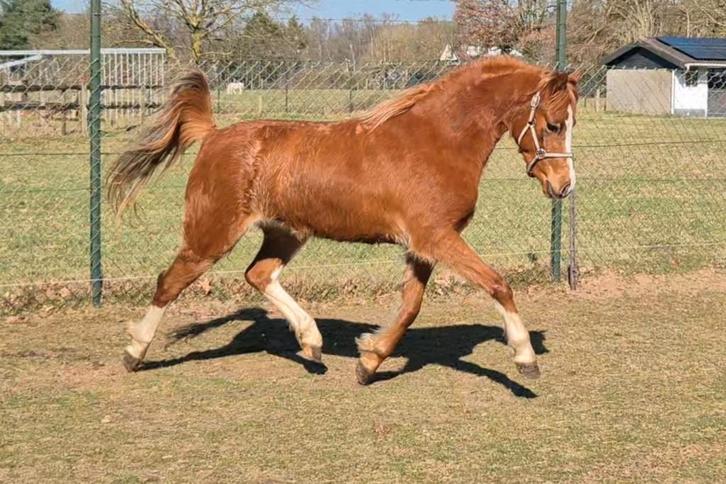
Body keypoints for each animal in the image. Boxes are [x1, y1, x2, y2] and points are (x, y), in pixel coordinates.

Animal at [107, 56, 578, 385]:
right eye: (553, 124)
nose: (563, 185)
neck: (438, 140)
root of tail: (215, 134)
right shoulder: (436, 237)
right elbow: (498, 283)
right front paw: (525, 359)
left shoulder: (423, 245)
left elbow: (411, 306)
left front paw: (369, 360)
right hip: (212, 234)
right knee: (169, 282)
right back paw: (134, 352)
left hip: (285, 233)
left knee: (258, 274)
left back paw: (311, 342)